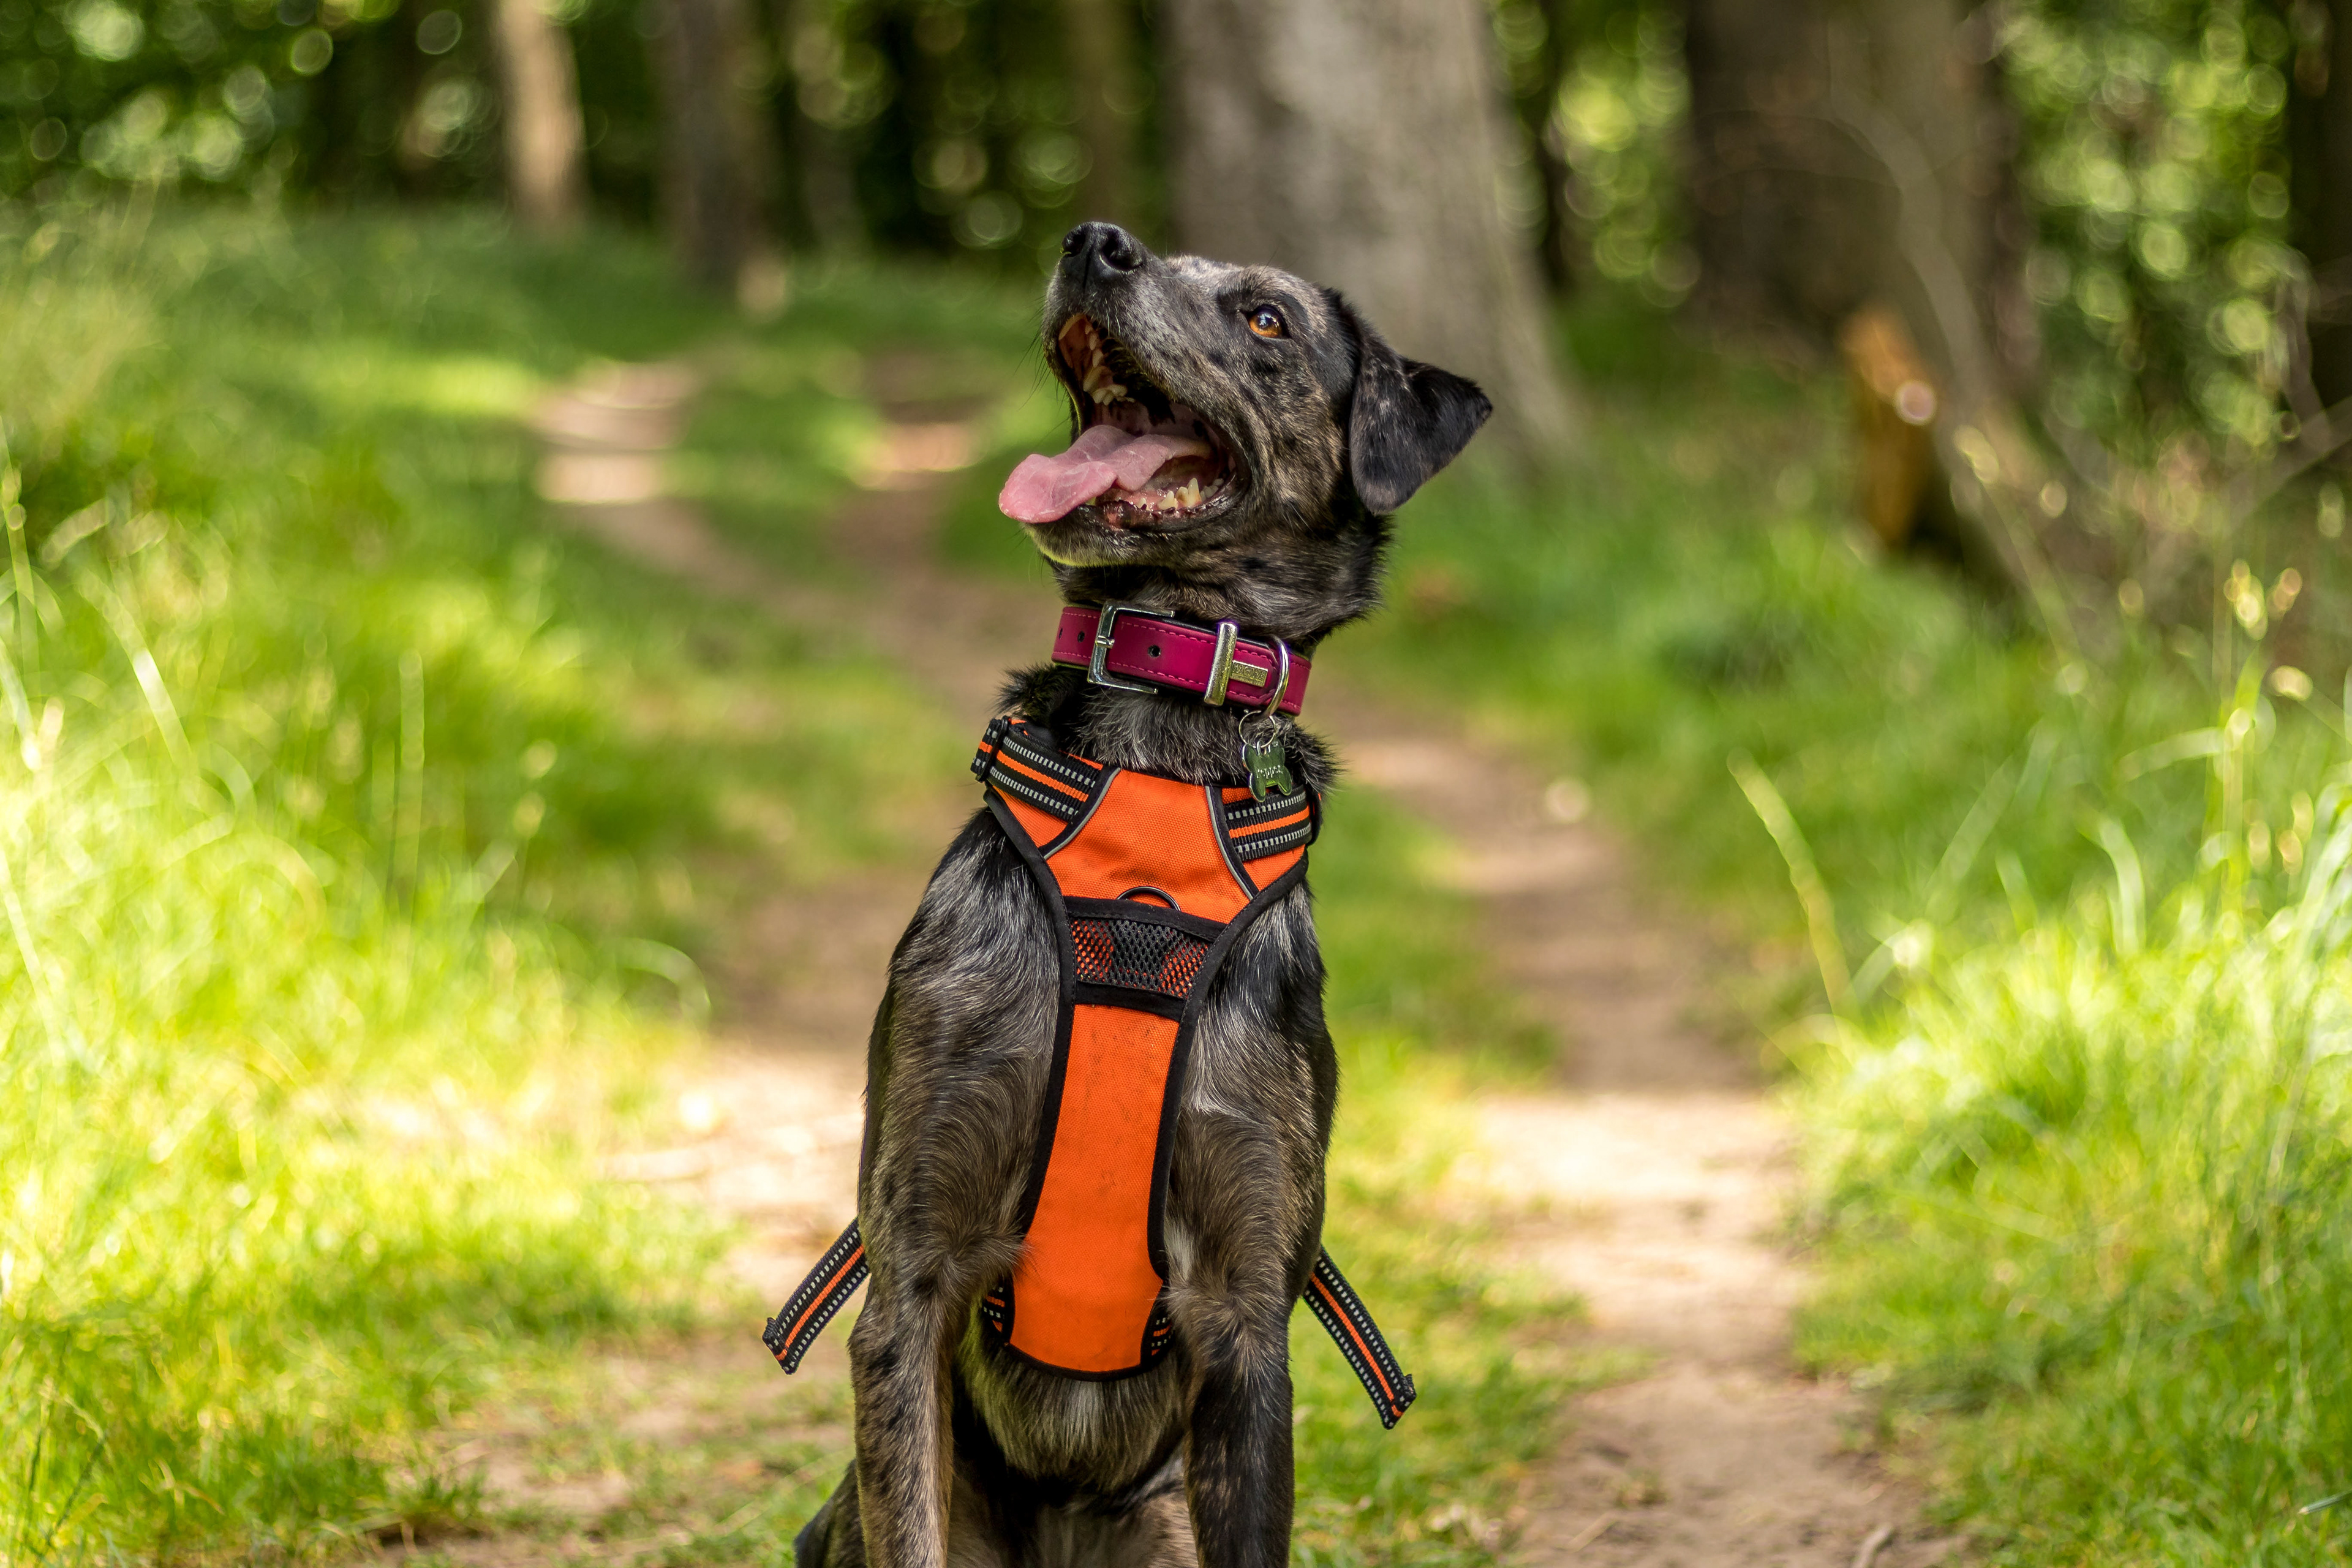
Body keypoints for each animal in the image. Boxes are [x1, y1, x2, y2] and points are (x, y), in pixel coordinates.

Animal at [790, 223, 1486, 1568]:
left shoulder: (1245, 1316)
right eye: (1158, 251)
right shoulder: (912, 1275)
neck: (1156, 775)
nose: (1094, 242)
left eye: (1266, 318)